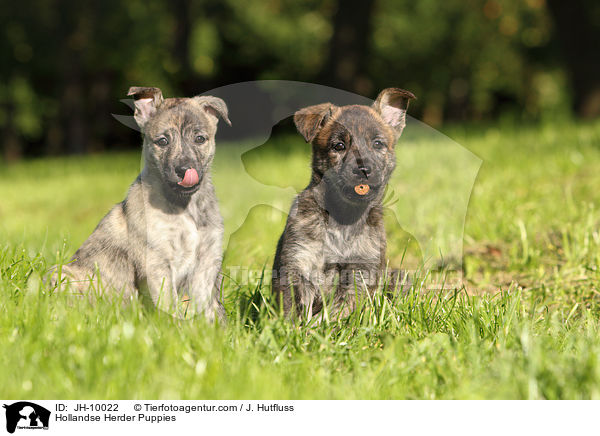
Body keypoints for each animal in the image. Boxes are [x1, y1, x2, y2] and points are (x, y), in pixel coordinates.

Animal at [52, 87, 230, 320]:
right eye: (162, 141)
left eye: (200, 139)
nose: (184, 169)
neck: (186, 207)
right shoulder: (157, 261)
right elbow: (169, 305)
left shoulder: (207, 259)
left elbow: (211, 308)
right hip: (62, 276)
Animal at [274, 87, 418, 318]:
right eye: (339, 146)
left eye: (377, 144)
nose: (364, 170)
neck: (344, 217)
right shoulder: (298, 264)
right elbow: (293, 312)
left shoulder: (361, 274)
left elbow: (335, 313)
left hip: (398, 277)